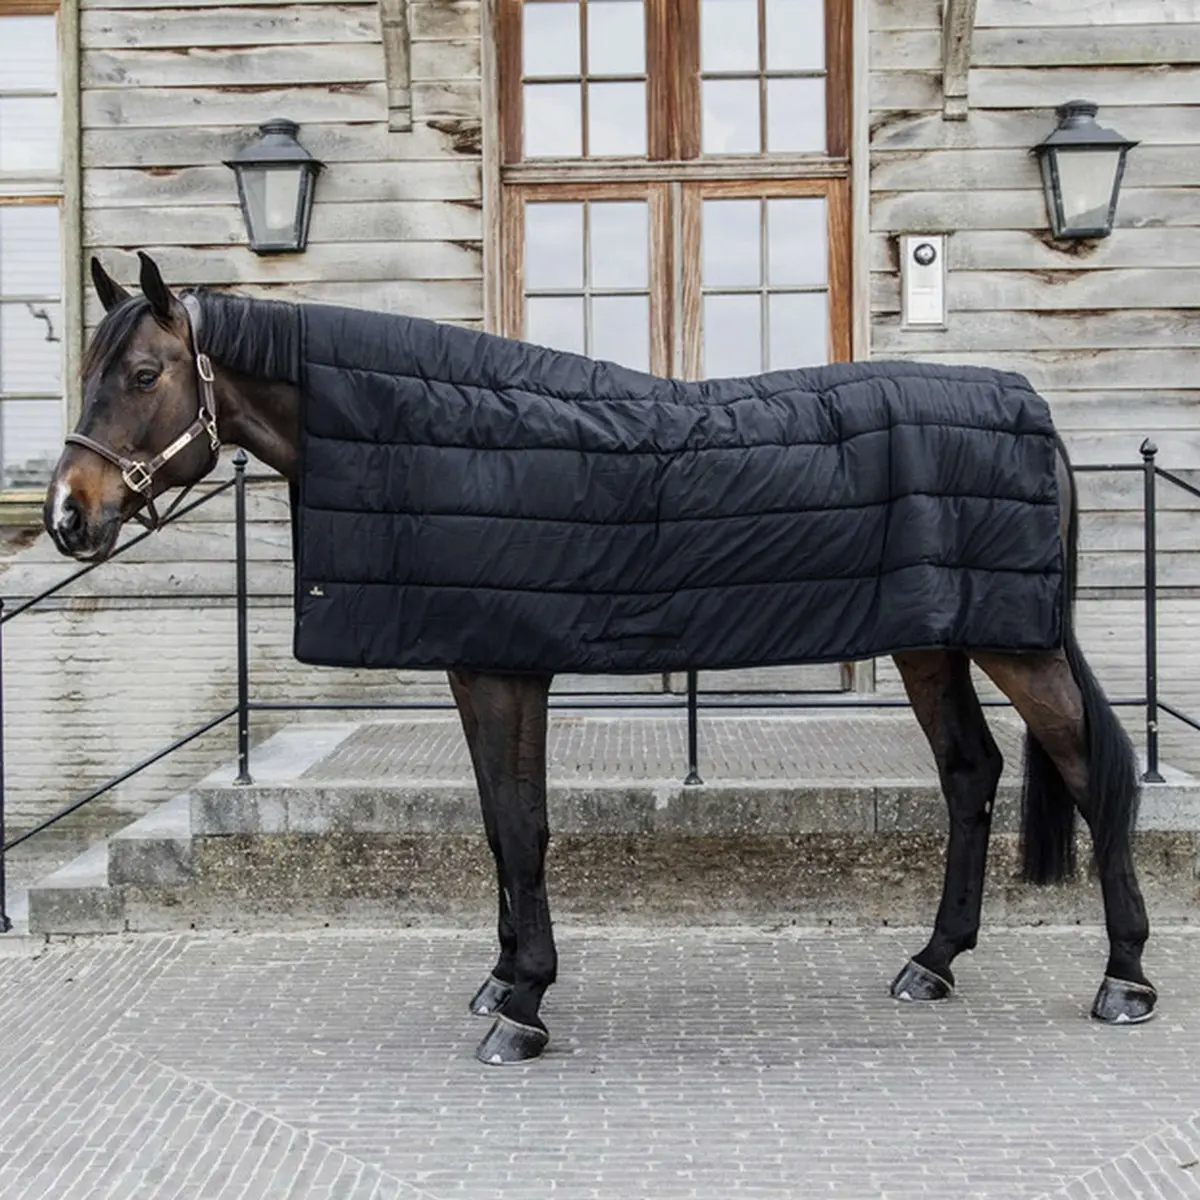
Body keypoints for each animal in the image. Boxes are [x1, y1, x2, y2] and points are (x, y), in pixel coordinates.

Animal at [43, 251, 1156, 1065]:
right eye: (88, 373)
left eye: (141, 375)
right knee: (972, 772)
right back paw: (933, 962)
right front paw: (503, 978)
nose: (66, 516)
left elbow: (523, 829)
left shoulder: (505, 668)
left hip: (1014, 643)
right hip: (935, 641)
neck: (439, 434)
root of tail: (1033, 411)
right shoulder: (480, 661)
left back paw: (1126, 979)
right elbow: (501, 828)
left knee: (1091, 769)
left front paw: (524, 1006)